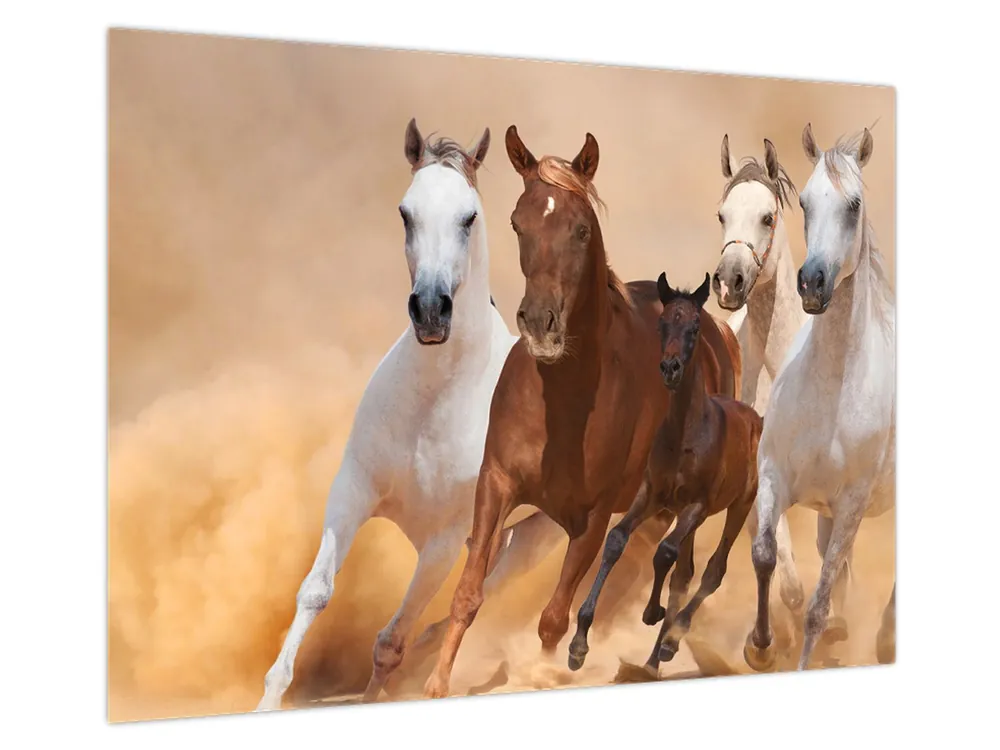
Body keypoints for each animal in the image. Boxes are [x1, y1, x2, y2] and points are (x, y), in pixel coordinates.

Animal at [256, 119, 566, 711]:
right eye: (406, 212)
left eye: (469, 217)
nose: (430, 311)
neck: (433, 404)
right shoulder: (352, 490)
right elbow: (316, 593)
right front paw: (268, 699)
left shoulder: (443, 542)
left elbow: (389, 643)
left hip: (542, 536)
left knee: (481, 594)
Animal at [422, 126, 742, 699]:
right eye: (518, 223)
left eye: (581, 230)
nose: (540, 324)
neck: (563, 401)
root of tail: (715, 330)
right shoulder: (496, 484)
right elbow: (468, 593)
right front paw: (435, 683)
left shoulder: (591, 519)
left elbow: (553, 618)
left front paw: (549, 670)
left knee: (677, 569)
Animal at [568, 272, 763, 678]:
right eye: (661, 323)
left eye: (694, 326)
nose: (670, 368)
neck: (685, 434)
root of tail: (757, 417)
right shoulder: (652, 495)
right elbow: (617, 540)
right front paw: (577, 646)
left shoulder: (696, 505)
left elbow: (665, 552)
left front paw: (652, 612)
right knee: (685, 572)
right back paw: (655, 655)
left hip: (739, 506)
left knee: (712, 570)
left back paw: (671, 641)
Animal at [744, 124, 895, 672]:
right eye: (805, 203)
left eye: (853, 205)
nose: (812, 283)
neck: (829, 392)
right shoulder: (774, 476)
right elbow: (766, 557)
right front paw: (760, 646)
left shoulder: (851, 504)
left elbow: (817, 604)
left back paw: (885, 639)